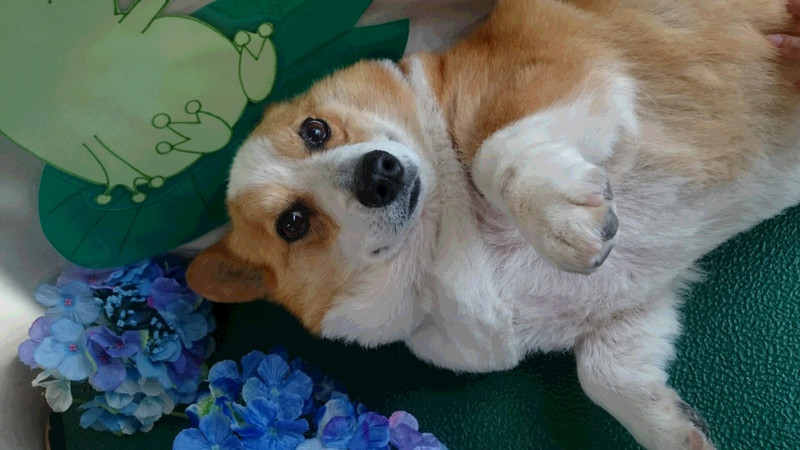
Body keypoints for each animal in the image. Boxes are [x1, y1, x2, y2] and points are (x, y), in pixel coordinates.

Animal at [186, 0, 800, 448]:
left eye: (315, 130)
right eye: (292, 222)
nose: (379, 172)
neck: (442, 235)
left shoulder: (559, 70)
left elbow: (492, 151)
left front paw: (560, 222)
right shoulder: (630, 309)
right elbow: (606, 378)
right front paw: (677, 431)